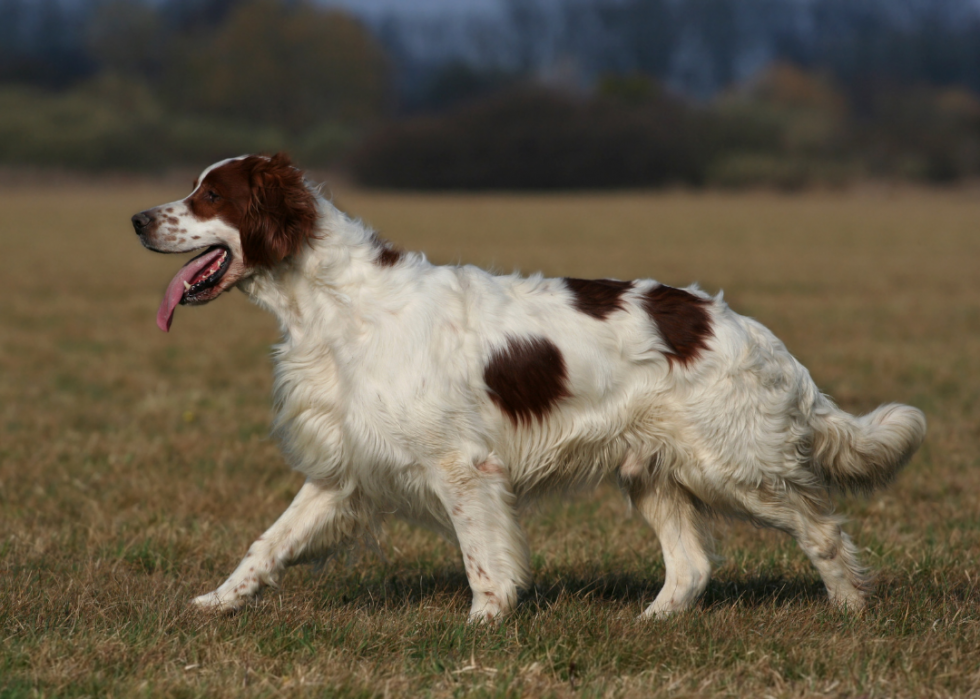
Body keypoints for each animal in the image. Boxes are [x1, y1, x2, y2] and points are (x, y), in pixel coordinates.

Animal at [132, 154, 928, 624]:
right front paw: (216, 601)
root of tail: (750, 330)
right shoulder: (345, 469)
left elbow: (484, 560)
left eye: (209, 195)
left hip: (734, 466)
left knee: (822, 531)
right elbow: (266, 544)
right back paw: (651, 623)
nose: (137, 217)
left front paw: (482, 627)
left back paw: (851, 611)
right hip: (655, 472)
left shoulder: (462, 468)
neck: (334, 304)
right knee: (692, 565)